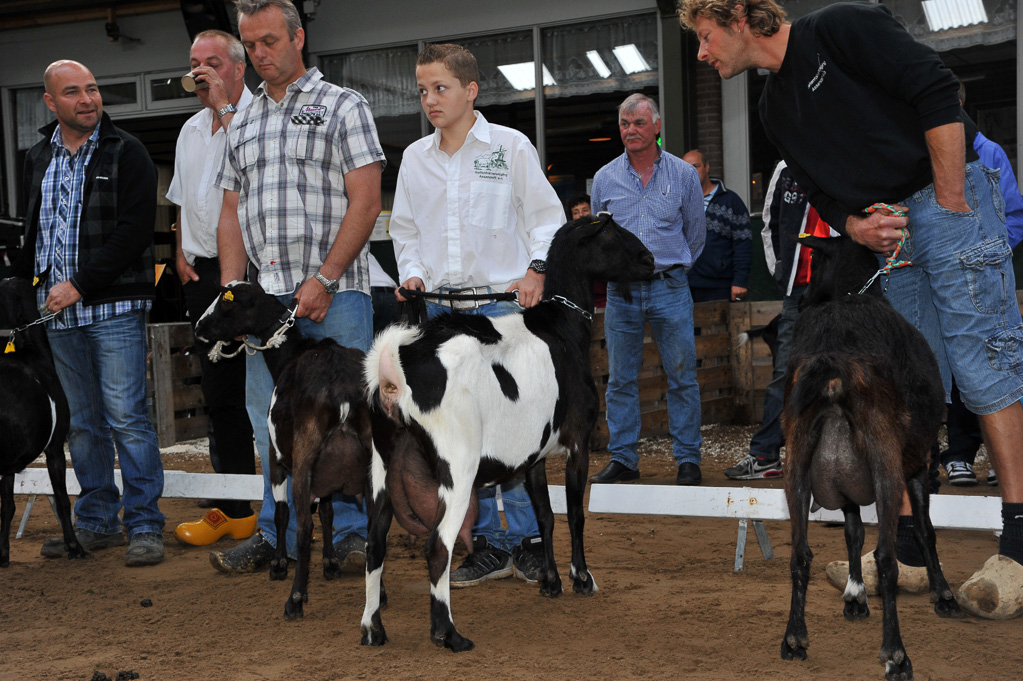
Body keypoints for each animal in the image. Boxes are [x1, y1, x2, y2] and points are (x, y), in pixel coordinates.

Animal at [193, 278, 374, 617]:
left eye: (226, 301)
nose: (198, 327)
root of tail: (342, 389)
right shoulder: (325, 475)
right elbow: (328, 511)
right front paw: (330, 563)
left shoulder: (275, 456)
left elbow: (281, 512)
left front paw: (278, 565)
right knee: (376, 525)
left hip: (303, 457)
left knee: (303, 528)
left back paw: (295, 600)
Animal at [360, 212, 654, 646]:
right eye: (609, 233)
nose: (650, 259)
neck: (561, 327)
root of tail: (393, 364)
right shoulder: (578, 442)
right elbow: (575, 514)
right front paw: (581, 578)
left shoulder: (533, 454)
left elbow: (545, 515)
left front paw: (550, 581)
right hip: (458, 466)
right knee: (437, 547)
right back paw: (448, 634)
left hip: (381, 466)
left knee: (375, 545)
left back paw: (372, 629)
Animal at [777, 235, 961, 678]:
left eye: (813, 263)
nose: (800, 299)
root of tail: (832, 358)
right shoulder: (918, 462)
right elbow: (925, 531)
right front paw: (942, 594)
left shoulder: (844, 487)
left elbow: (852, 531)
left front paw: (855, 595)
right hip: (885, 462)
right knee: (887, 558)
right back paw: (896, 654)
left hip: (797, 463)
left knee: (800, 554)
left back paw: (794, 639)